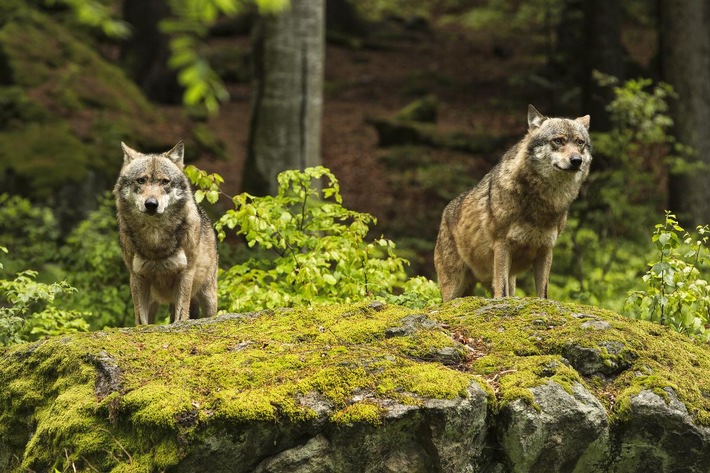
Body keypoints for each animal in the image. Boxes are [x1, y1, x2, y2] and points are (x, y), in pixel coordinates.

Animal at [114, 141, 218, 324]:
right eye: (141, 180)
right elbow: (141, 320)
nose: (151, 204)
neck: (155, 237)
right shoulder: (137, 276)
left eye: (164, 182)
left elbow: (181, 315)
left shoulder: (185, 273)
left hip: (208, 297)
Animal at [434, 105, 596, 300]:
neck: (543, 202)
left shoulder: (546, 250)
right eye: (558, 141)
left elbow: (543, 294)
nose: (576, 160)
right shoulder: (502, 246)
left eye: (580, 143)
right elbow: (502, 293)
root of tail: (445, 212)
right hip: (454, 289)